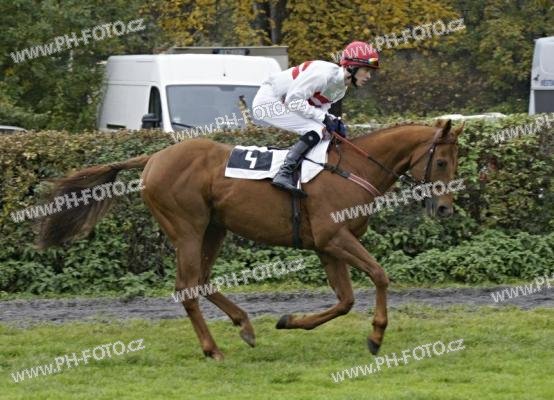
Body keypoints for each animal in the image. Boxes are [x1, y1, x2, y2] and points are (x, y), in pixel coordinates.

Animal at [37, 119, 464, 360]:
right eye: (442, 162)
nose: (445, 209)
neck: (353, 169)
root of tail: (153, 158)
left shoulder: (327, 247)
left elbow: (344, 301)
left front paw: (290, 321)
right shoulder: (334, 238)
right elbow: (379, 276)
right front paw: (376, 335)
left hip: (215, 228)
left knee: (202, 281)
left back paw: (244, 324)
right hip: (188, 229)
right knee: (187, 287)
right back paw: (213, 349)